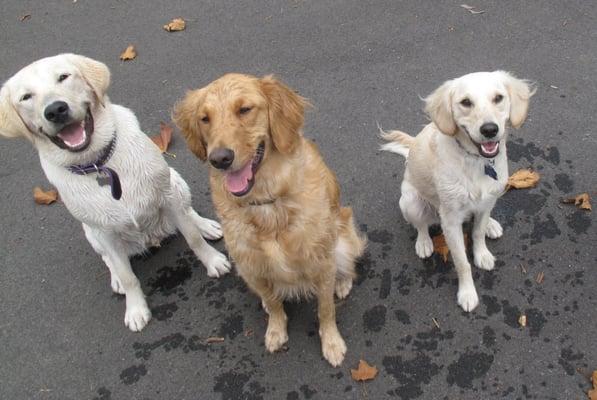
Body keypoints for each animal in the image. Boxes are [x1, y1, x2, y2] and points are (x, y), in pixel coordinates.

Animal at [0, 55, 230, 332]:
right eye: (25, 97)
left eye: (63, 77)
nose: (55, 110)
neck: (100, 164)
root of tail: (153, 236)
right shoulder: (104, 232)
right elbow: (127, 274)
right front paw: (136, 308)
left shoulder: (167, 197)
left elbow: (193, 238)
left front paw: (213, 260)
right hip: (91, 234)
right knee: (111, 261)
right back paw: (116, 279)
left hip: (176, 182)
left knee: (188, 213)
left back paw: (206, 225)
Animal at [173, 72, 364, 366]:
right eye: (205, 118)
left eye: (244, 109)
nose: (220, 158)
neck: (266, 202)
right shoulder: (251, 264)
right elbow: (274, 304)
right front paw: (276, 330)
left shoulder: (321, 261)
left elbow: (325, 308)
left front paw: (332, 343)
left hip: (343, 236)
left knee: (345, 265)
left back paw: (342, 283)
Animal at [382, 70, 536, 310]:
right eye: (466, 102)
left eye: (498, 98)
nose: (490, 130)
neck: (476, 160)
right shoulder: (451, 221)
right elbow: (462, 263)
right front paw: (467, 293)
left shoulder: (486, 200)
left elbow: (478, 232)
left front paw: (482, 253)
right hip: (411, 202)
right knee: (421, 225)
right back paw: (424, 243)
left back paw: (491, 224)